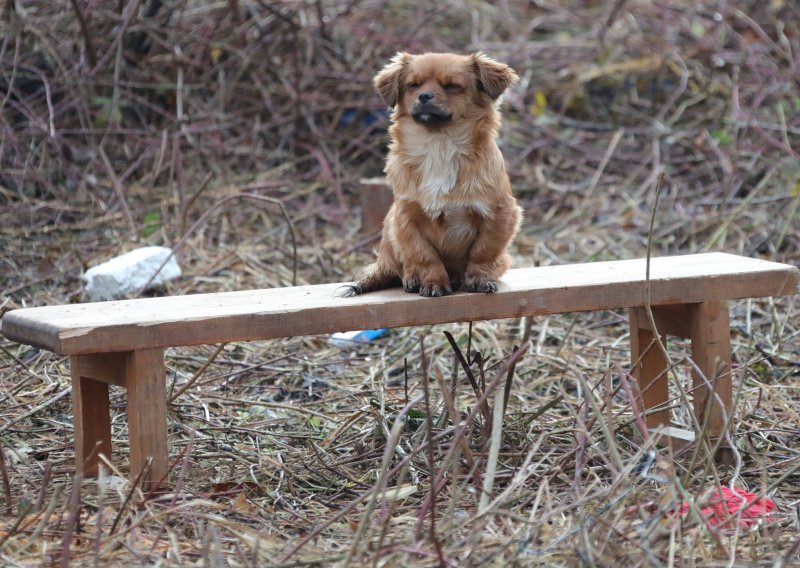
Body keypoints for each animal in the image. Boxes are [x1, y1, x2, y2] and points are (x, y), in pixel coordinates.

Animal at [346, 52, 520, 298]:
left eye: (452, 86)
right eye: (413, 85)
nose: (424, 96)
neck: (439, 144)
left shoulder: (501, 214)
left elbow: (483, 251)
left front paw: (479, 279)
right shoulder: (405, 218)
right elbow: (424, 255)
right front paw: (433, 282)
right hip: (390, 226)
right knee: (402, 267)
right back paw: (412, 279)